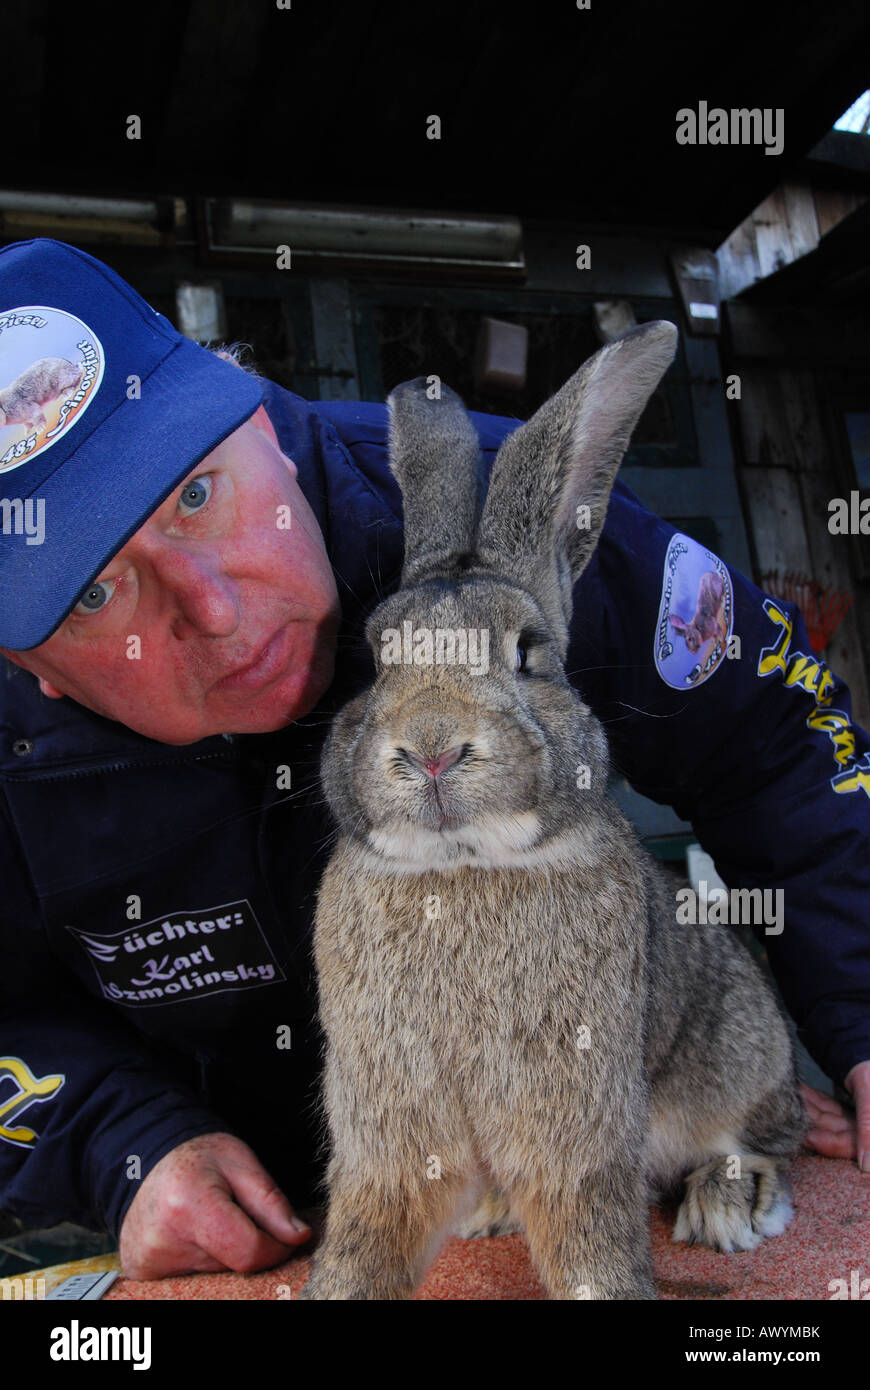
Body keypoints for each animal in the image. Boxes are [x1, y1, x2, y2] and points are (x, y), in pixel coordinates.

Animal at [297, 321, 805, 1301]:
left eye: (528, 653)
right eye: (376, 661)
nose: (431, 747)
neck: (459, 866)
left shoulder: (578, 1122)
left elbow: (587, 1225)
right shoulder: (385, 1138)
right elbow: (369, 1231)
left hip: (743, 1051)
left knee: (763, 1138)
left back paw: (729, 1204)